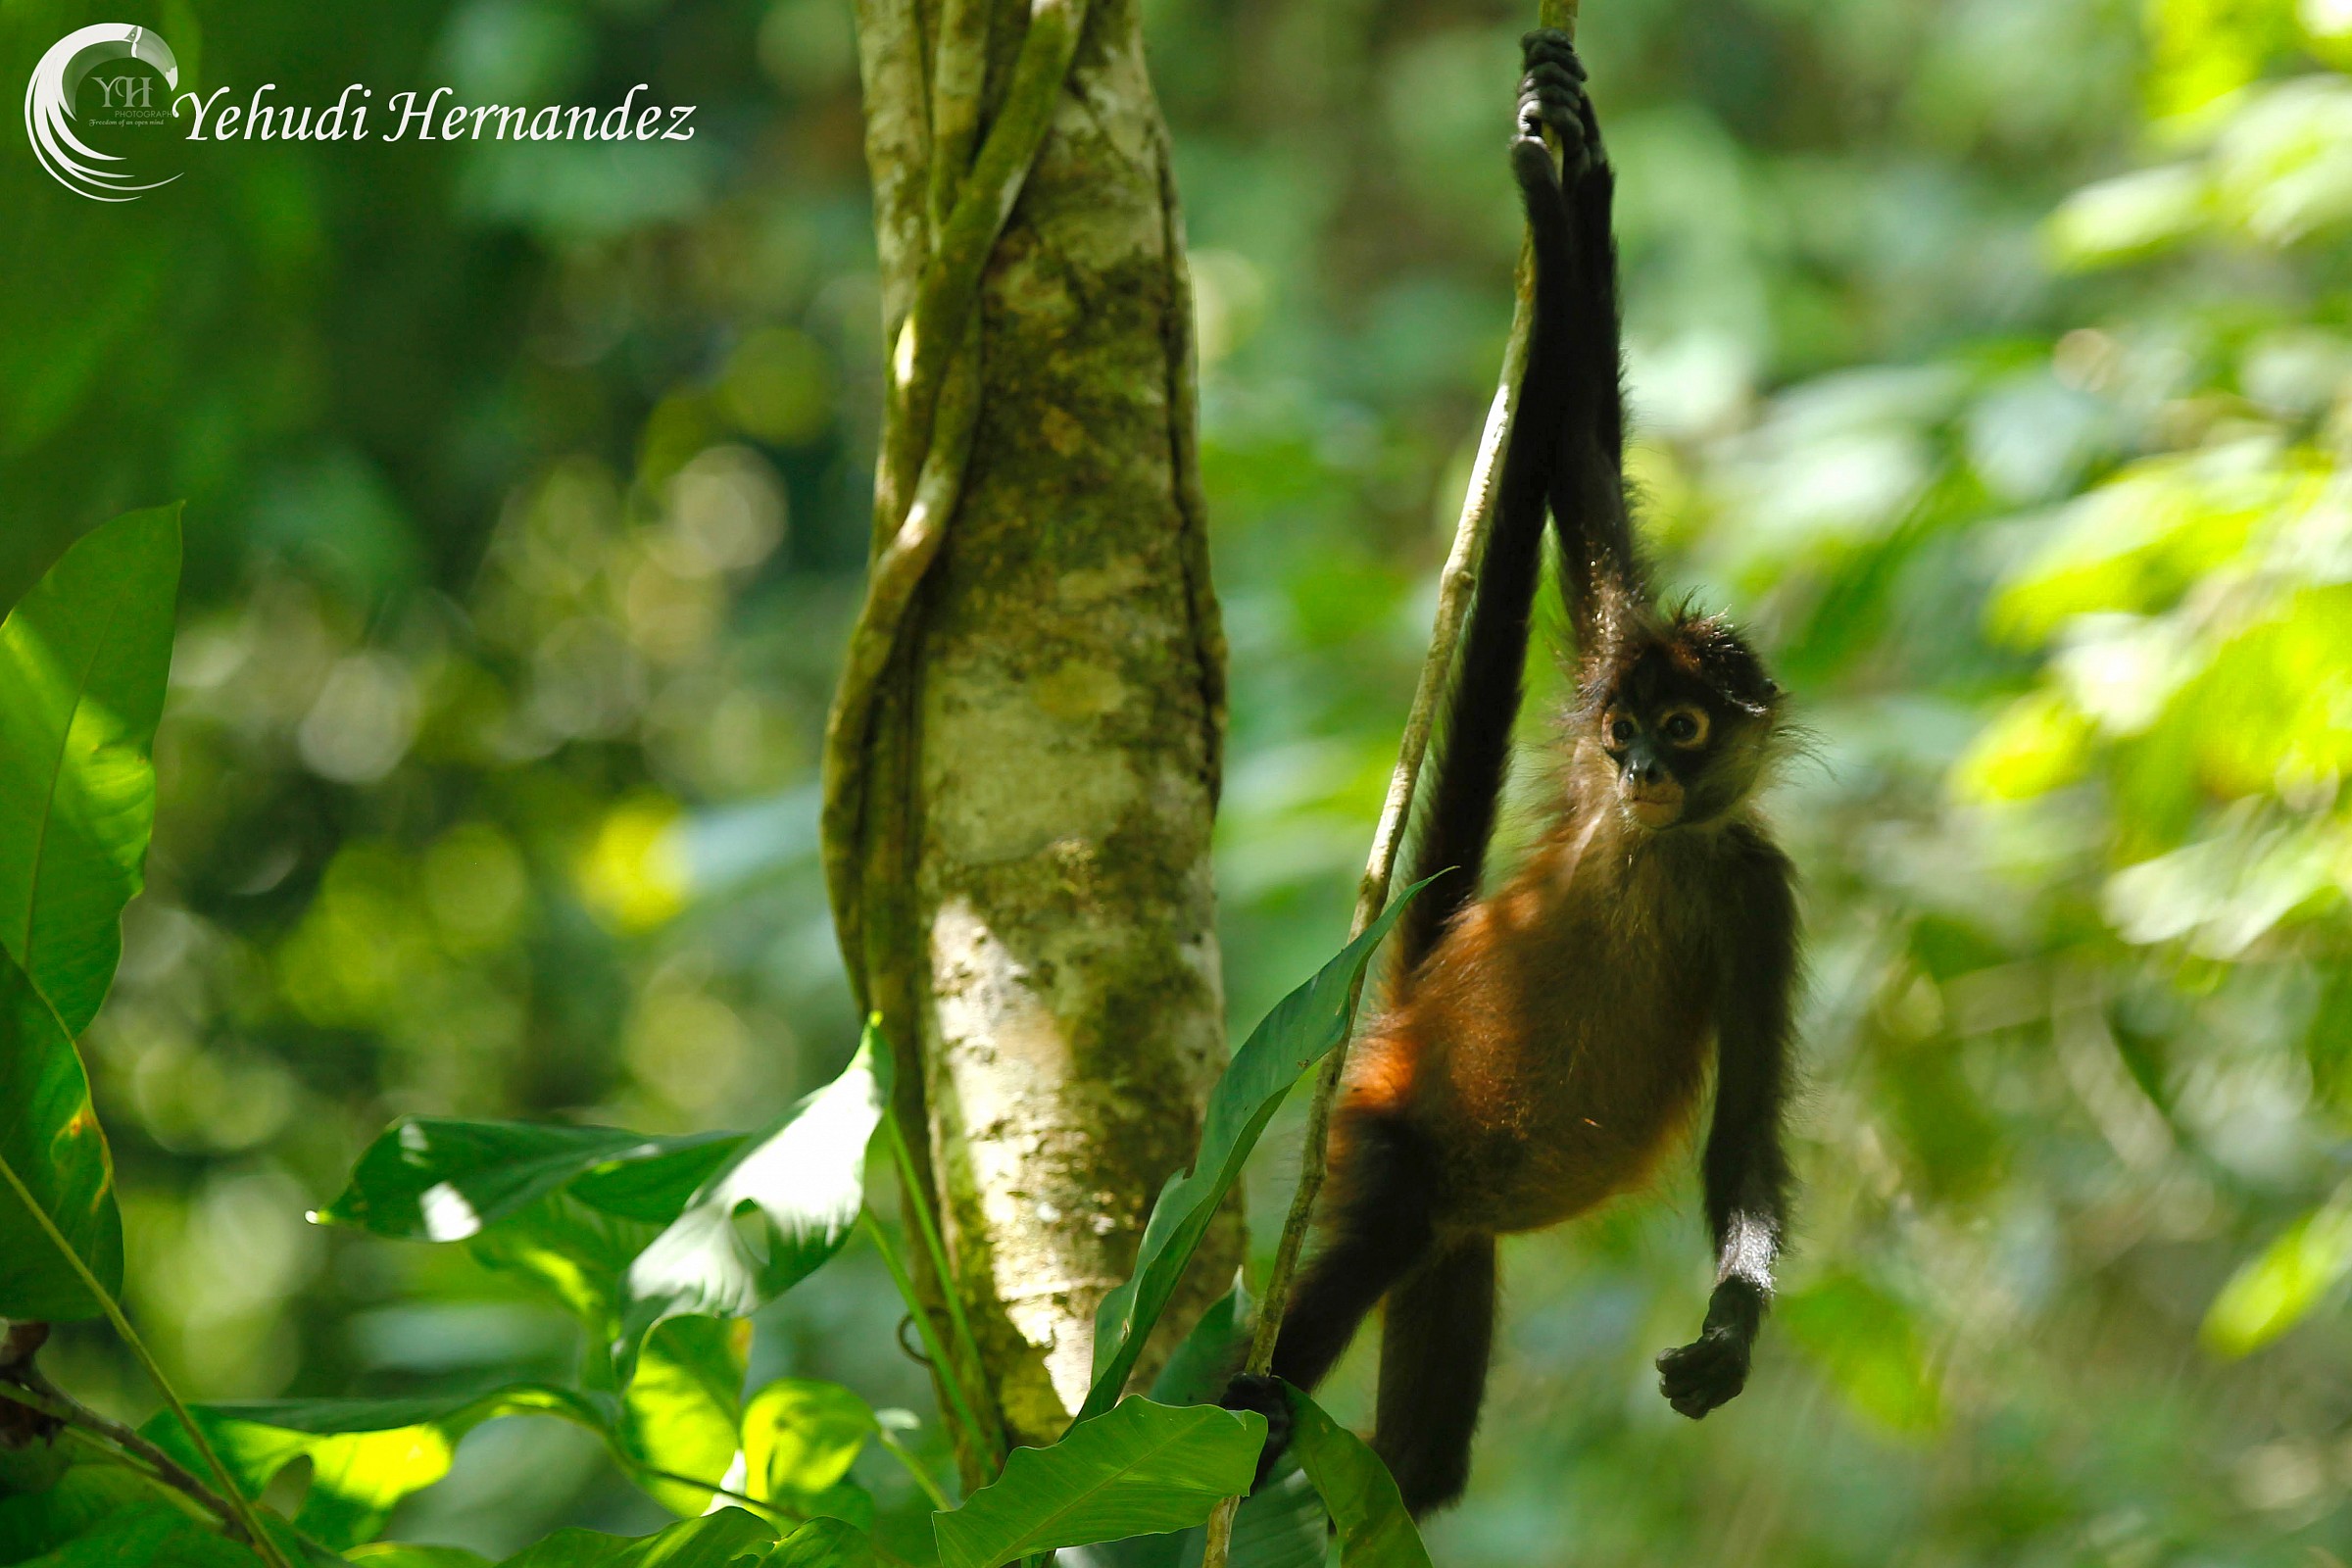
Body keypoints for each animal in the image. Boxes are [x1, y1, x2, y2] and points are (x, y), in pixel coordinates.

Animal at [1224, 29, 1800, 1519]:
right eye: (1623, 732)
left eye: (1687, 730)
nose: (1643, 766)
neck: (1650, 847)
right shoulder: (1604, 670)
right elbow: (1584, 458)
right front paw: (1570, 186)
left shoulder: (1760, 892)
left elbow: (1746, 1138)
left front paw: (1731, 1336)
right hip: (1395, 1147)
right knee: (1373, 1241)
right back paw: (1231, 1427)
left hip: (1459, 1233)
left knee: (1427, 1459)